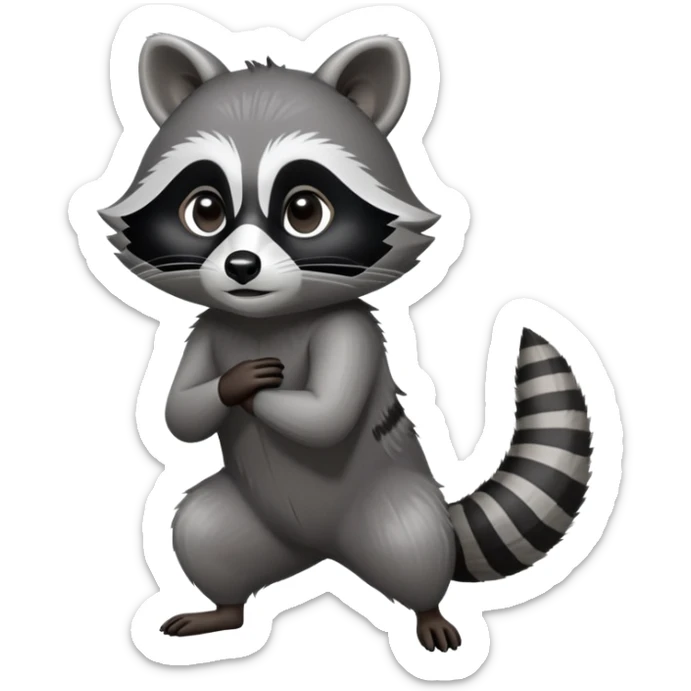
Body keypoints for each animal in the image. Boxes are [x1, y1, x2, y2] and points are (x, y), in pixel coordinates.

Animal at [98, 34, 592, 652]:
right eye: (205, 209)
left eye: (305, 210)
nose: (241, 267)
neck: (269, 318)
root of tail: (323, 553)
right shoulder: (208, 325)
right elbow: (178, 413)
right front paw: (233, 384)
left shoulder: (348, 328)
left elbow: (325, 415)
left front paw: (259, 389)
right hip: (252, 528)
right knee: (202, 528)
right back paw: (224, 610)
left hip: (391, 504)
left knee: (412, 541)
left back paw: (427, 611)